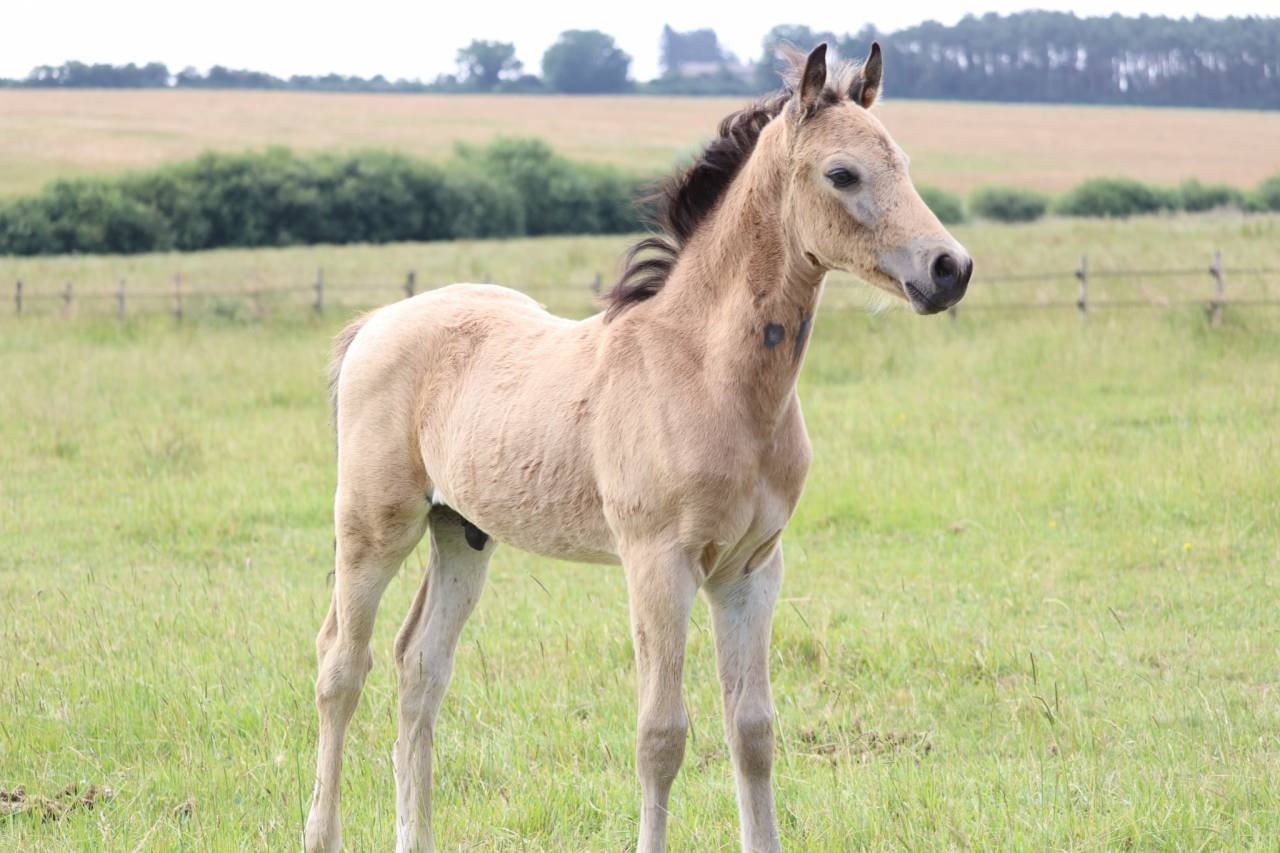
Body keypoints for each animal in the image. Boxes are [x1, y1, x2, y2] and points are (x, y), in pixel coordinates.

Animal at [303, 42, 972, 853]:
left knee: (419, 666)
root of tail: (375, 322)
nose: (949, 268)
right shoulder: (658, 563)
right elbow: (661, 735)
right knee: (342, 666)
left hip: (461, 532)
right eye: (842, 173)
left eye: (901, 161)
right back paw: (321, 831)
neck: (707, 374)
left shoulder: (752, 569)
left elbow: (753, 730)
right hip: (374, 526)